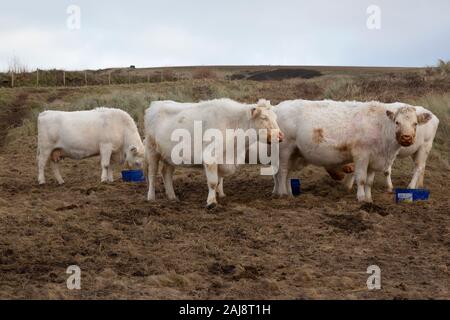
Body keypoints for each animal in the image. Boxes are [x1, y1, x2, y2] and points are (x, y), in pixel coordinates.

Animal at [144, 98, 284, 208]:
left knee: (166, 173)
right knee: (152, 174)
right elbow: (212, 182)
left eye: (275, 117)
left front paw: (220, 195)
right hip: (152, 150)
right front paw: (211, 202)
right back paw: (151, 197)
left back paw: (172, 197)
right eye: (264, 118)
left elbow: (219, 180)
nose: (280, 136)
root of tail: (155, 104)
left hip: (170, 156)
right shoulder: (210, 156)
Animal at [270, 99, 432, 202]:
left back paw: (288, 193)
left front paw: (369, 199)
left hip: (294, 152)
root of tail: (277, 107)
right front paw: (360, 198)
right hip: (284, 149)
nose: (406, 138)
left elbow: (369, 182)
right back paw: (282, 194)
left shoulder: (374, 160)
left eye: (415, 123)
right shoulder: (362, 156)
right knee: (282, 171)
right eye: (397, 122)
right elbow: (361, 179)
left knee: (288, 173)